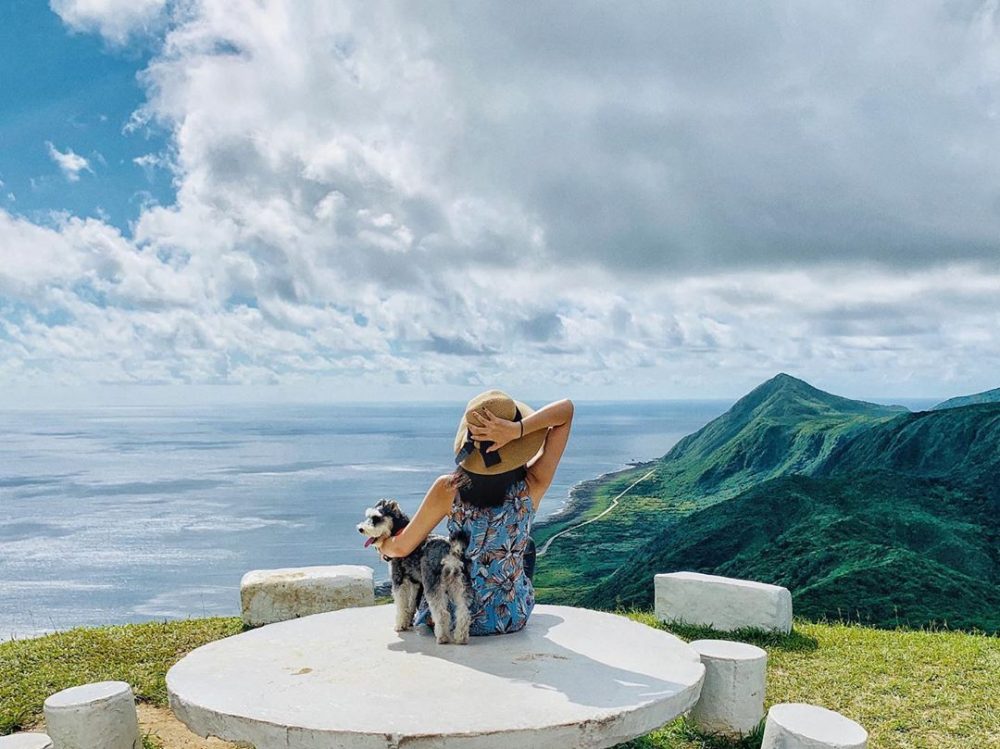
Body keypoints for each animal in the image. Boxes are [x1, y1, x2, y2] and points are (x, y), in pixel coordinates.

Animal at [356, 496, 472, 644]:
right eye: (368, 516)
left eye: (376, 518)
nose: (361, 529)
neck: (398, 532)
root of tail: (451, 550)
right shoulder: (415, 583)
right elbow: (410, 605)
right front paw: (408, 622)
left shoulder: (398, 580)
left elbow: (401, 605)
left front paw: (400, 625)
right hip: (460, 585)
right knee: (463, 612)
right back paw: (461, 637)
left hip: (432, 586)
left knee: (442, 613)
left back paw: (443, 637)